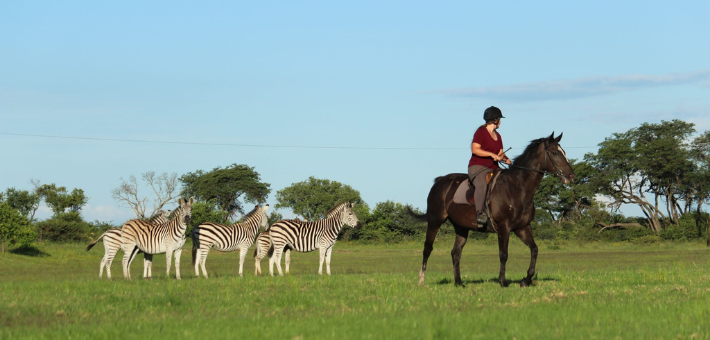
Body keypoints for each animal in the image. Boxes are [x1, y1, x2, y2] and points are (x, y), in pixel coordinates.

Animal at [414, 133, 576, 286]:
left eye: (564, 151)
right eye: (555, 152)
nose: (571, 175)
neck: (517, 187)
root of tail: (440, 180)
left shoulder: (522, 227)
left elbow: (534, 249)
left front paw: (526, 280)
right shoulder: (504, 226)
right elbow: (503, 254)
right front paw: (503, 281)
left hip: (461, 227)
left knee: (456, 253)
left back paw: (459, 283)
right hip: (435, 221)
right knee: (427, 248)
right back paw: (421, 280)